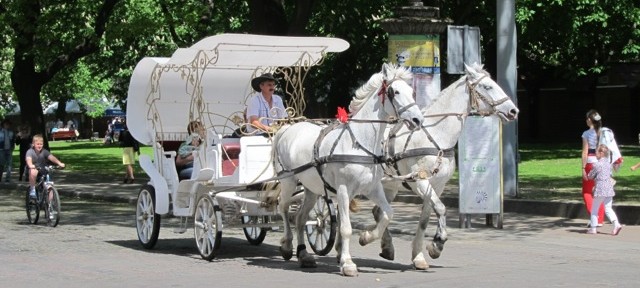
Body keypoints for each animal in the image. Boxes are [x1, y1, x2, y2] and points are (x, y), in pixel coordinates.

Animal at [272, 63, 424, 276]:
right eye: (395, 91)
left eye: (412, 91)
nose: (418, 120)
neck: (360, 143)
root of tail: (286, 129)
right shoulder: (344, 190)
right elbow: (345, 228)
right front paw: (347, 263)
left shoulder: (372, 188)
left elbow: (388, 214)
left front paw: (367, 237)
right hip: (288, 181)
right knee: (283, 207)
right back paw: (287, 245)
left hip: (311, 189)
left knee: (300, 218)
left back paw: (304, 255)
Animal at [372, 62, 516, 270]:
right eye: (487, 86)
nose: (514, 111)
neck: (436, 135)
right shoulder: (420, 182)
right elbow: (440, 209)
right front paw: (437, 243)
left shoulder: (437, 185)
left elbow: (425, 219)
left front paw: (419, 256)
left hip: (389, 185)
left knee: (379, 212)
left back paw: (387, 247)